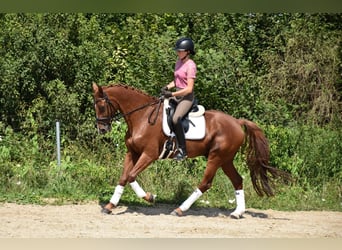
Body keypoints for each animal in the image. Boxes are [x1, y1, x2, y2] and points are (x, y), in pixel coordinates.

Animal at [92, 83, 290, 218]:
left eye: (101, 105)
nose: (102, 129)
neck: (141, 117)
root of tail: (236, 121)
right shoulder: (132, 153)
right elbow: (124, 177)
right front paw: (110, 206)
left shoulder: (149, 155)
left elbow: (132, 176)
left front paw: (150, 197)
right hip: (225, 159)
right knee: (237, 180)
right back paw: (237, 213)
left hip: (216, 157)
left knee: (205, 183)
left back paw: (180, 209)